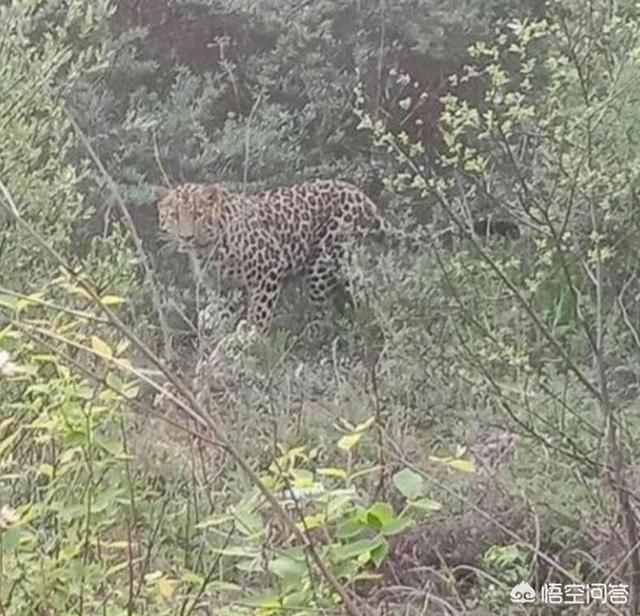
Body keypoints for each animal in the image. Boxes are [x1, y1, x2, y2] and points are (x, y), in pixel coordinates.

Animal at [156, 179, 384, 332]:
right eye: (174, 215)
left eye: (198, 215)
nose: (186, 237)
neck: (205, 250)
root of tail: (364, 197)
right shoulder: (225, 287)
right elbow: (223, 311)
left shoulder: (268, 270)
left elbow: (259, 312)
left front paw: (251, 338)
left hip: (322, 265)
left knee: (327, 310)